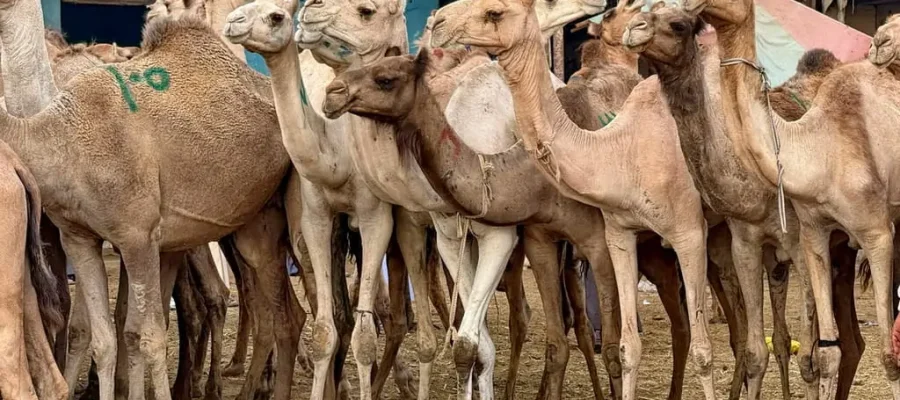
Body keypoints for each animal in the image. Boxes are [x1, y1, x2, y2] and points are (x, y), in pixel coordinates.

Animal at [429, 1, 713, 399]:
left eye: (494, 13)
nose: (437, 22)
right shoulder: (536, 241)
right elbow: (552, 344)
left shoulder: (598, 242)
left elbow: (611, 347)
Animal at [678, 0, 900, 396]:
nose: (879, 43)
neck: (819, 151)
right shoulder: (813, 234)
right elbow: (825, 351)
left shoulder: (876, 234)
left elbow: (888, 356)